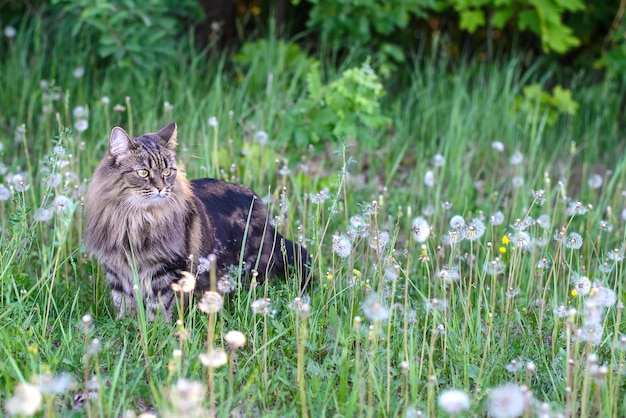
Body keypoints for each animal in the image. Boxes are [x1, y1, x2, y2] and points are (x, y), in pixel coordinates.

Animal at [84, 121, 308, 320]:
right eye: (143, 172)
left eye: (167, 171)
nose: (161, 188)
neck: (135, 219)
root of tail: (262, 208)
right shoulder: (116, 269)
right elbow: (123, 303)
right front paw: (125, 324)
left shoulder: (167, 268)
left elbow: (158, 306)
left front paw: (155, 328)